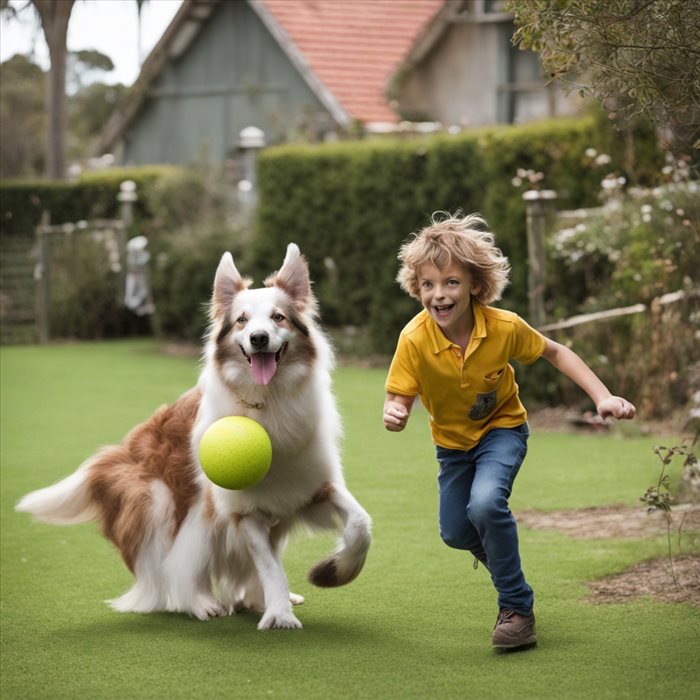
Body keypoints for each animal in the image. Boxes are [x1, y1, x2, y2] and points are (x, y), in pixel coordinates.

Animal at [15, 245, 372, 628]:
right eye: (242, 321)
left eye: (278, 317)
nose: (258, 338)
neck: (268, 402)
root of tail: (116, 453)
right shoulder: (243, 510)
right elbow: (269, 565)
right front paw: (279, 613)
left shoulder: (311, 485)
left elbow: (361, 525)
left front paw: (331, 573)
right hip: (160, 502)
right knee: (169, 571)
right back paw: (201, 603)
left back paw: (253, 599)